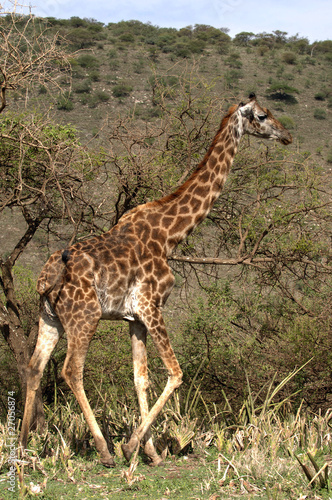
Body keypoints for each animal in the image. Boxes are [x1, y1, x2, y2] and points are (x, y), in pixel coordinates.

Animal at [19, 94, 292, 468]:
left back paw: (21, 446)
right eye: (263, 116)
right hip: (84, 317)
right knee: (71, 371)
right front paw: (131, 446)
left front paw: (150, 452)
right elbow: (175, 373)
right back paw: (104, 450)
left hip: (50, 319)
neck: (170, 234)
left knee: (34, 367)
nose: (286, 135)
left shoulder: (135, 317)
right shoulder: (152, 306)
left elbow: (140, 378)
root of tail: (45, 278)